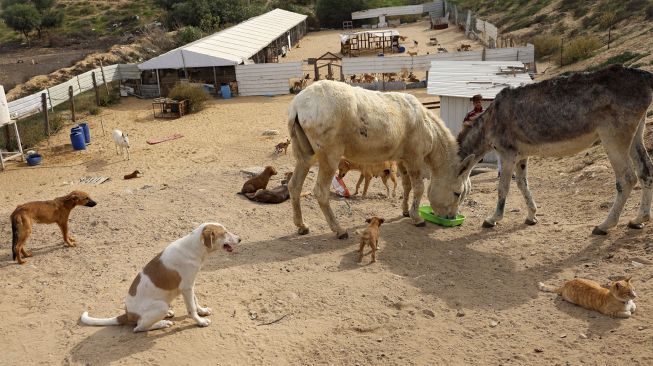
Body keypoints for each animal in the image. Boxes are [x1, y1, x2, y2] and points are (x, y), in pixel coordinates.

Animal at [80, 223, 241, 332]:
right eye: (224, 233)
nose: (240, 239)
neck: (193, 248)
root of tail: (127, 314)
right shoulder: (186, 287)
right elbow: (191, 309)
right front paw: (200, 321)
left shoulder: (190, 285)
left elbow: (195, 302)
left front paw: (202, 311)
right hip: (160, 306)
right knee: (139, 327)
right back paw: (162, 323)